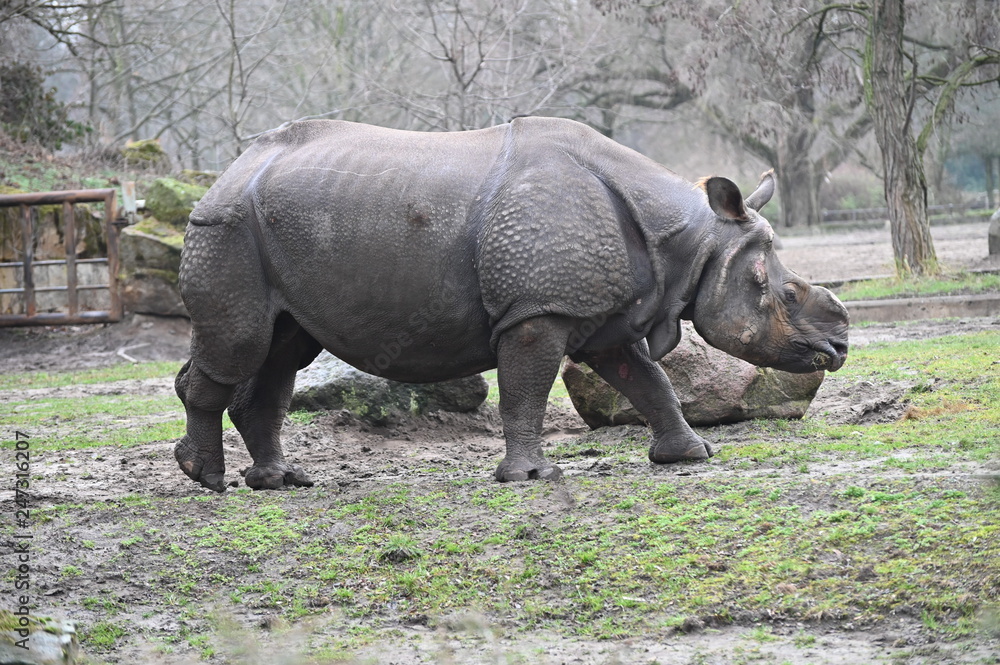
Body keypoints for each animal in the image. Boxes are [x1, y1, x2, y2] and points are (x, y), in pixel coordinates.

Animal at [174, 117, 849, 492]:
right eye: (787, 293)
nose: (839, 346)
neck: (691, 240)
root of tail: (228, 170)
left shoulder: (605, 317)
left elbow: (646, 379)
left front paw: (691, 456)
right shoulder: (538, 309)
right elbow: (527, 388)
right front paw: (531, 478)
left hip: (274, 227)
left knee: (282, 350)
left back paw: (280, 483)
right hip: (227, 229)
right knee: (241, 345)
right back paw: (206, 479)